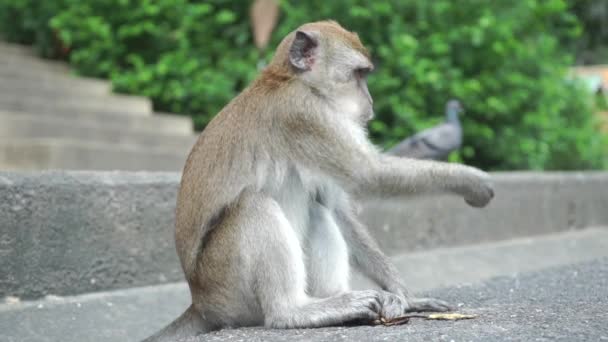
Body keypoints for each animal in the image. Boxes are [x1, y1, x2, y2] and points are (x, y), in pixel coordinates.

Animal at [144, 20, 494, 340]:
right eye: (359, 75)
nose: (370, 103)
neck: (290, 81)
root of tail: (200, 303)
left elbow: (337, 207)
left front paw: (407, 297)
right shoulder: (304, 115)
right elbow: (368, 173)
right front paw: (472, 180)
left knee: (317, 209)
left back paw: (339, 300)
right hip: (227, 288)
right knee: (253, 206)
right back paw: (294, 312)